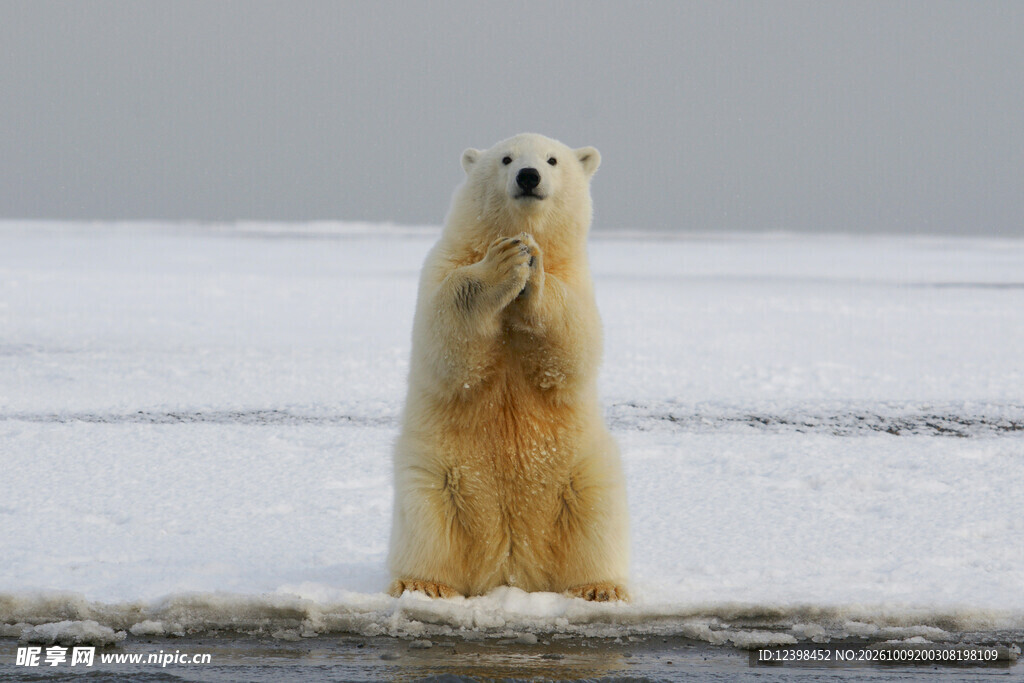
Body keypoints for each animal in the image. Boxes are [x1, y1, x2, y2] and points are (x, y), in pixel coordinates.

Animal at [387, 133, 629, 602]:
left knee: (595, 517)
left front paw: (531, 268)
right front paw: (505, 262)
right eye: (505, 158)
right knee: (427, 522)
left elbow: (573, 343)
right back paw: (423, 583)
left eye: (552, 160)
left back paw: (599, 588)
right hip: (438, 473)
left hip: (579, 473)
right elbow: (446, 336)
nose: (529, 176)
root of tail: (510, 569)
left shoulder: (577, 279)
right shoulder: (444, 264)